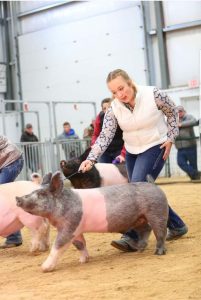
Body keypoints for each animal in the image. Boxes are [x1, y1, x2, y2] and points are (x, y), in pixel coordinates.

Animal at [16, 171, 169, 272]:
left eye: (41, 194)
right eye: (33, 191)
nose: (18, 198)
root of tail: (153, 185)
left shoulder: (70, 226)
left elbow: (58, 245)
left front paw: (44, 268)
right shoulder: (77, 230)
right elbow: (80, 244)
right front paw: (83, 261)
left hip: (157, 212)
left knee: (160, 232)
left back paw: (158, 253)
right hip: (139, 219)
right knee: (146, 229)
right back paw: (140, 249)